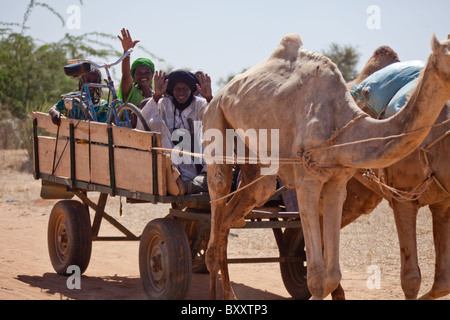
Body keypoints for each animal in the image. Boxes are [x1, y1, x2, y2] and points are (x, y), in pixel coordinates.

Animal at [202, 33, 450, 298]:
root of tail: (220, 93)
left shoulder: (338, 181)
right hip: (215, 119)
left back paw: (229, 293)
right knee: (218, 191)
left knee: (240, 208)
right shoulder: (307, 180)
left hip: (255, 160)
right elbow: (318, 279)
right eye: (447, 53)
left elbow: (331, 277)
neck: (340, 121)